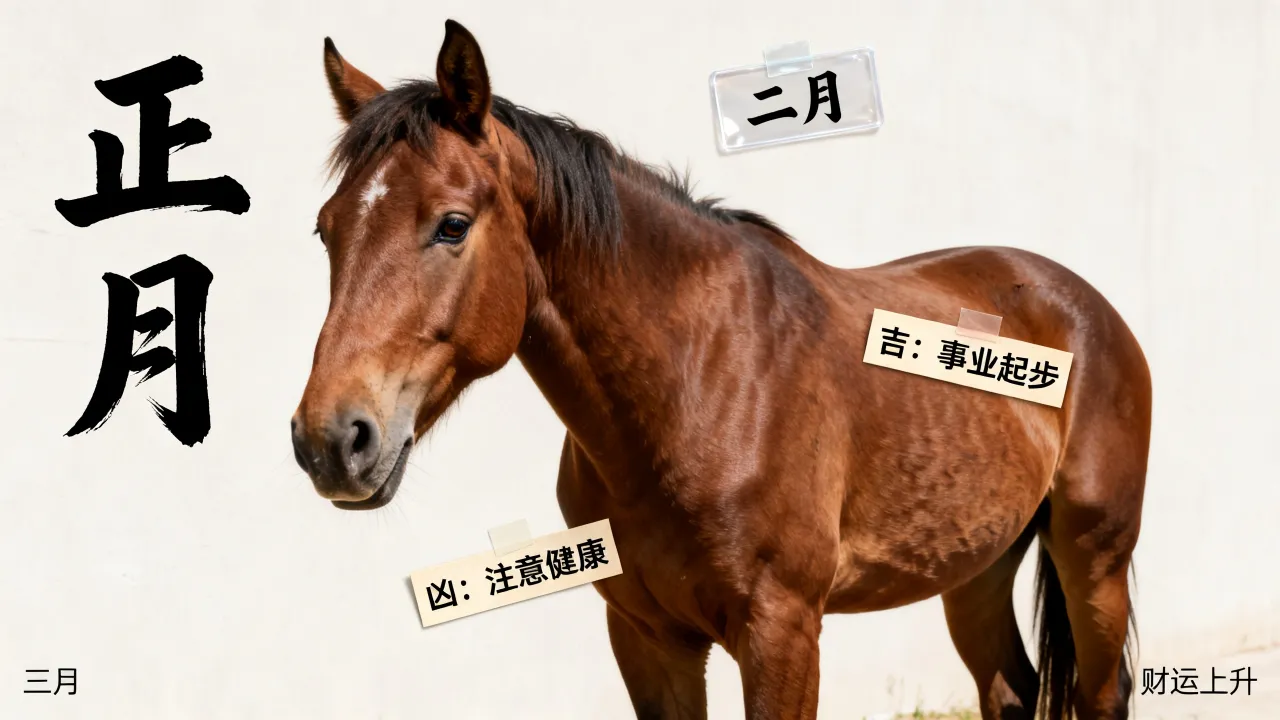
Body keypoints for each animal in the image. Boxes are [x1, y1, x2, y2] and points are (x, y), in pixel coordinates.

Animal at [290, 20, 1150, 720]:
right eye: (327, 230)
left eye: (452, 225)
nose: (331, 441)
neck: (698, 385)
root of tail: (1079, 299)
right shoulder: (647, 637)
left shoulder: (782, 634)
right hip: (976, 565)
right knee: (1008, 689)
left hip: (1093, 557)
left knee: (1102, 691)